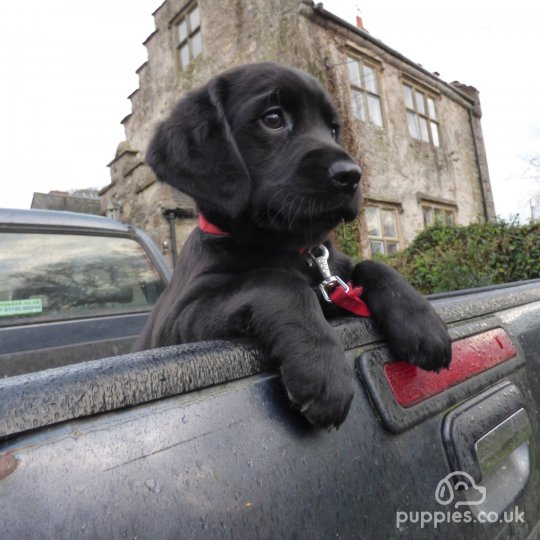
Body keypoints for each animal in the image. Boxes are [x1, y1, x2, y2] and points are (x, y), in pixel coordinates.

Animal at [136, 61, 452, 428]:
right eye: (273, 118)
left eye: (333, 129)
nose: (351, 174)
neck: (293, 252)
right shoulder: (181, 317)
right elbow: (276, 281)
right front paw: (323, 369)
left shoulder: (336, 282)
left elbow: (374, 266)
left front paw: (423, 322)